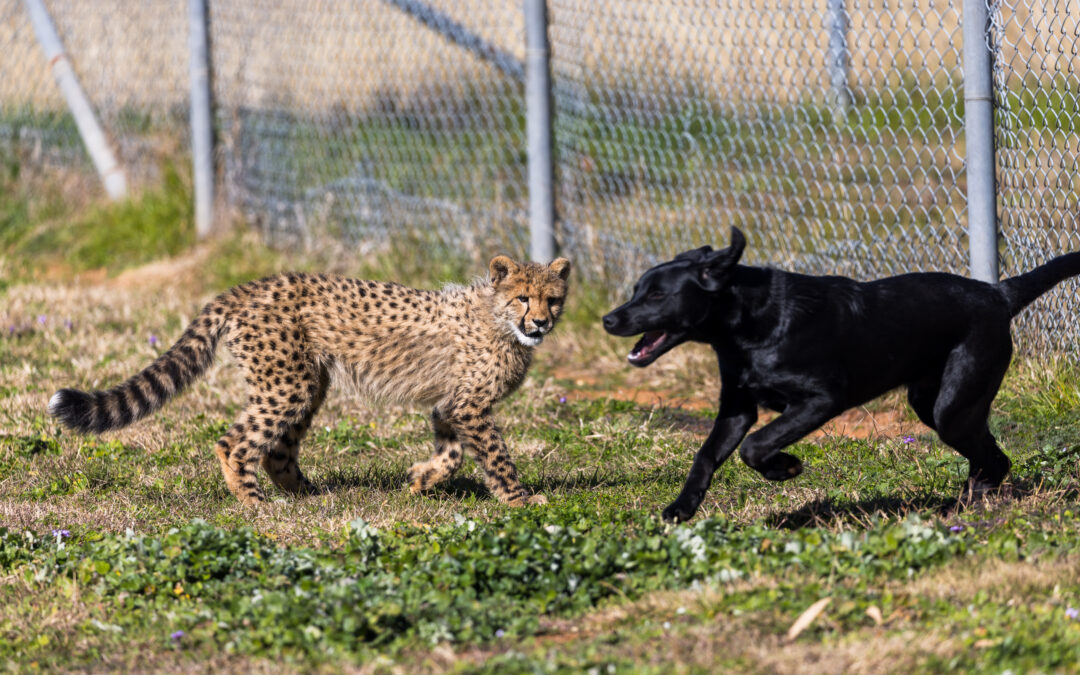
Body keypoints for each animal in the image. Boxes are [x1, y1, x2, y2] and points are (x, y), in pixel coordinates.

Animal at [48, 255, 571, 506]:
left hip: (307, 382)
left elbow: (452, 452)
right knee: (234, 442)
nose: (541, 323)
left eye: (553, 298)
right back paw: (255, 502)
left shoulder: (451, 404)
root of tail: (249, 286)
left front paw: (422, 480)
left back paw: (310, 495)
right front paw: (522, 500)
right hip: (287, 383)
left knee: (277, 449)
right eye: (523, 298)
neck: (497, 318)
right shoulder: (470, 406)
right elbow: (495, 456)